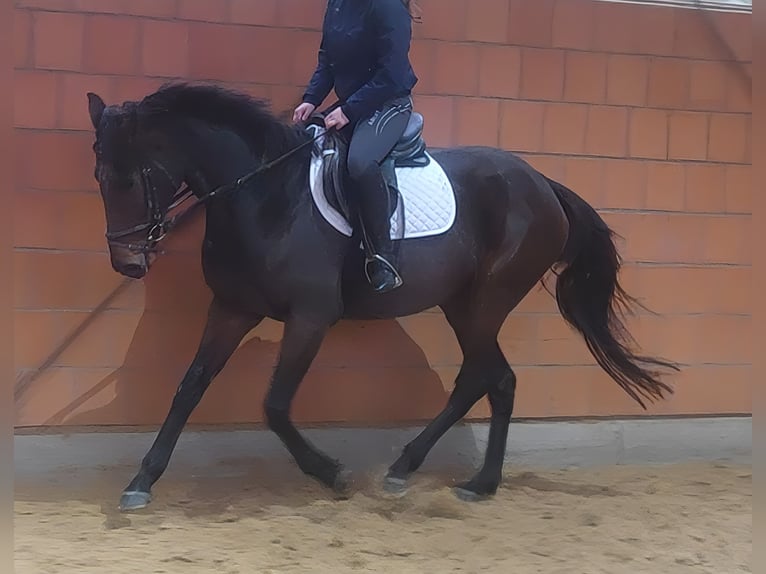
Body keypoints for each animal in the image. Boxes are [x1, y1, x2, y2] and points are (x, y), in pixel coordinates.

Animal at [85, 82, 678, 512]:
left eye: (130, 179)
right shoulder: (232, 309)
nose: (127, 264)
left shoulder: (311, 317)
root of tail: (542, 183)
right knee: (481, 378)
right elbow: (189, 388)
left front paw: (332, 474)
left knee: (497, 379)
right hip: (462, 303)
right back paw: (409, 469)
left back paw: (478, 483)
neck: (266, 197)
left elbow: (274, 405)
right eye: (99, 177)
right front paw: (141, 481)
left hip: (486, 302)